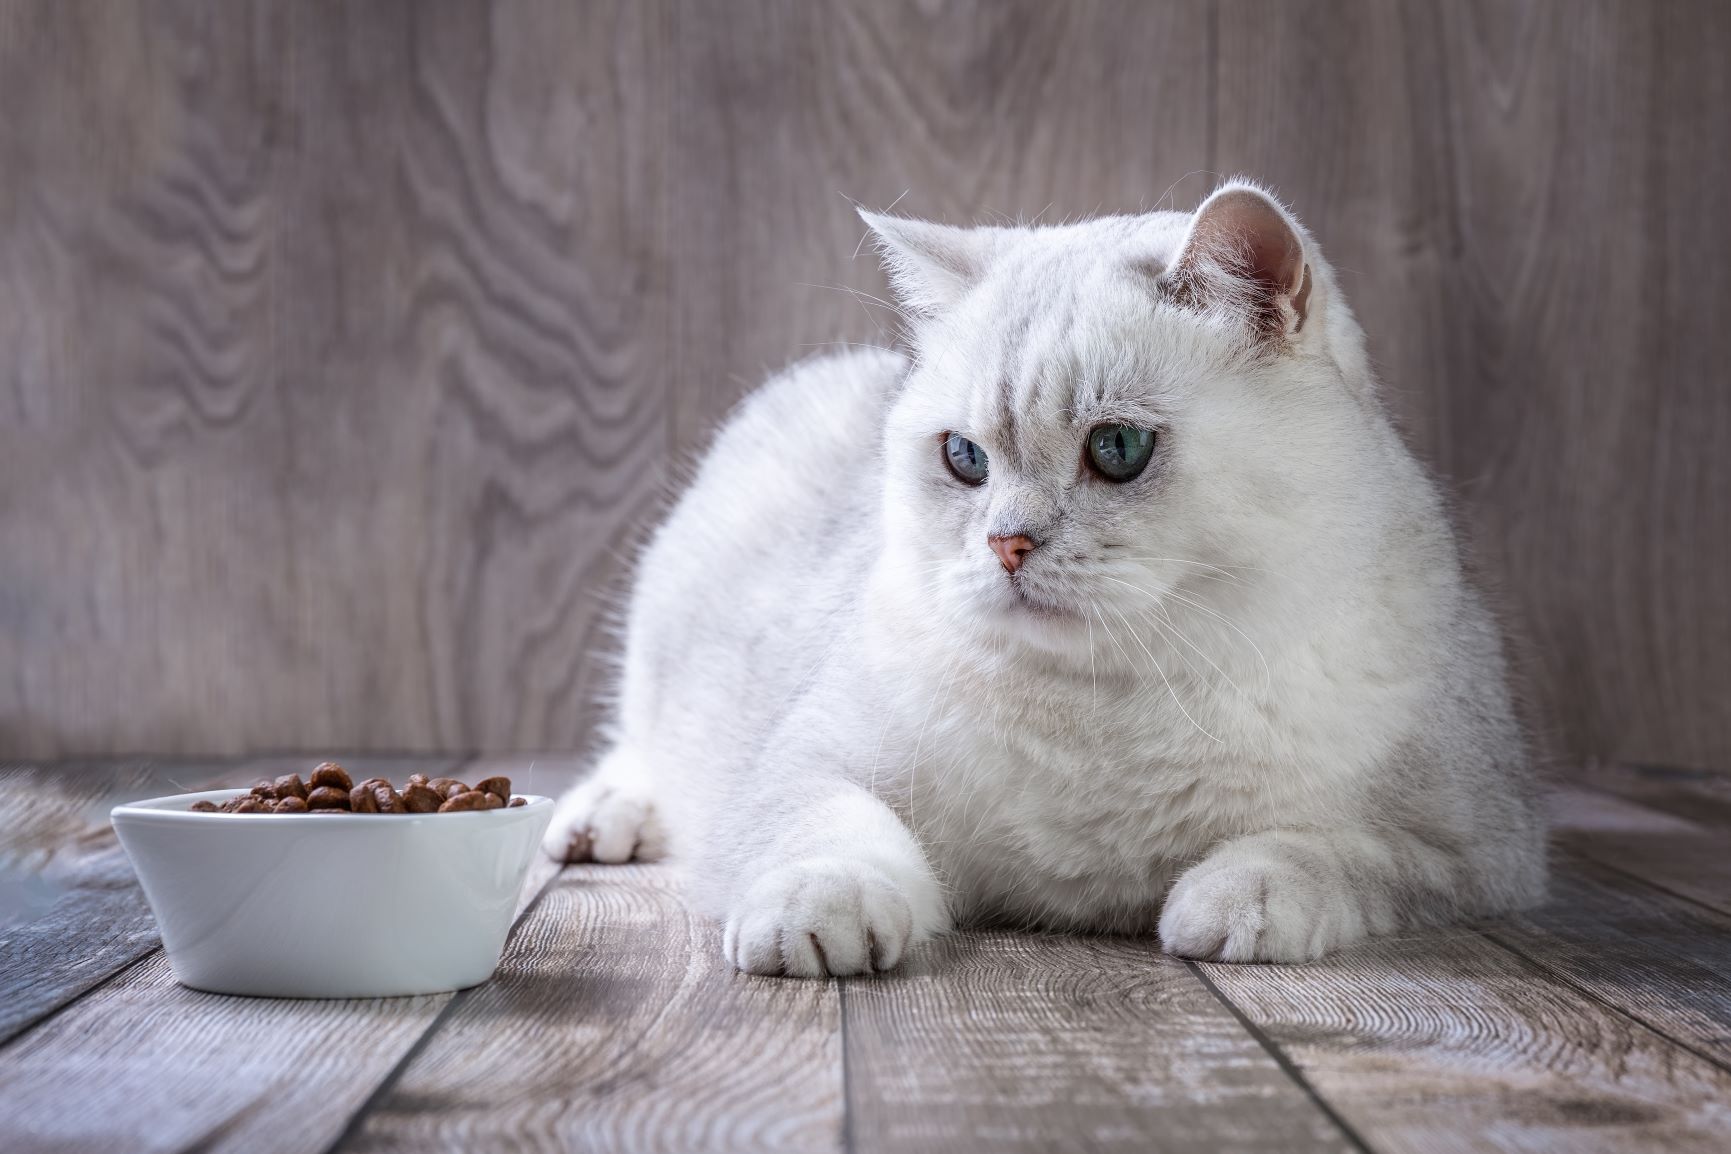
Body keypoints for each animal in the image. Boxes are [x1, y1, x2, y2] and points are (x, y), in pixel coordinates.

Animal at [540, 180, 1544, 975]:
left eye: (1119, 448)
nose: (1006, 545)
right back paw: (597, 822)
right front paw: (821, 918)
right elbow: (826, 830)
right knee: (634, 744)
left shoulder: (1472, 845)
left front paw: (1232, 905)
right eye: (964, 459)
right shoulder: (806, 761)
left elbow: (1324, 852)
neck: (1106, 708)